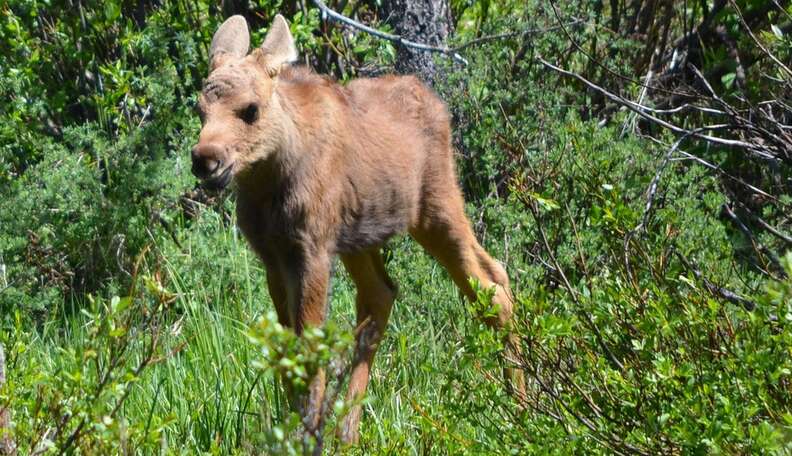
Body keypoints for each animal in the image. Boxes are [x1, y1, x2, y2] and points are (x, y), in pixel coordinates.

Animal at [192, 14, 524, 446]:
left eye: (251, 109)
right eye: (200, 109)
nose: (205, 159)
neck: (268, 181)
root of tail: (437, 103)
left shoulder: (312, 249)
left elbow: (310, 346)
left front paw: (306, 431)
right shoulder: (273, 256)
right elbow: (287, 349)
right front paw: (297, 426)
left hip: (437, 205)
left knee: (490, 285)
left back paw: (521, 405)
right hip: (359, 236)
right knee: (383, 293)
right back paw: (348, 430)